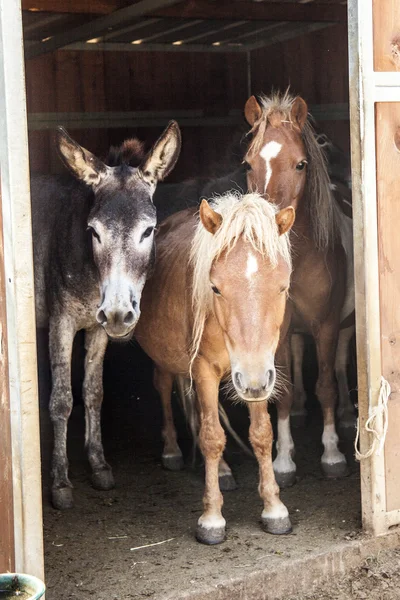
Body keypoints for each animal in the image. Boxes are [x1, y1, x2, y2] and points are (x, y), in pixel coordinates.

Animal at [33, 120, 182, 506]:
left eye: (149, 231)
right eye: (93, 232)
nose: (117, 313)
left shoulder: (97, 328)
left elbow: (93, 392)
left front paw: (99, 465)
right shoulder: (61, 321)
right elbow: (61, 400)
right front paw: (60, 483)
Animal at [136, 192, 296, 544]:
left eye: (282, 286)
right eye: (216, 288)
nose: (251, 380)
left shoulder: (260, 372)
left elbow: (261, 433)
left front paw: (274, 508)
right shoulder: (205, 370)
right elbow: (211, 437)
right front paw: (211, 519)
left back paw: (222, 471)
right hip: (168, 362)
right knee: (165, 391)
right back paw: (172, 451)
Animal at [242, 94, 354, 488]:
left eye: (301, 164)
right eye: (248, 164)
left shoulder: (327, 325)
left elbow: (327, 385)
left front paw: (333, 455)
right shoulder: (280, 329)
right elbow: (285, 391)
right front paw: (284, 461)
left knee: (339, 367)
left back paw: (348, 414)